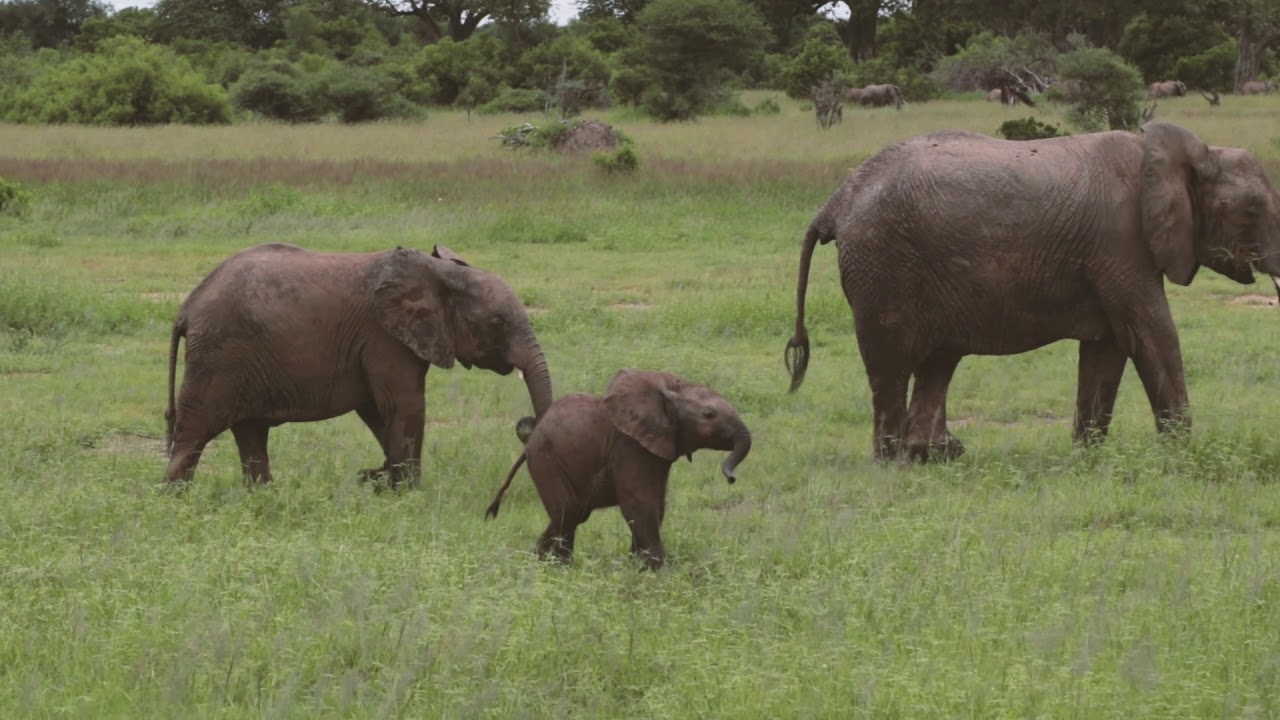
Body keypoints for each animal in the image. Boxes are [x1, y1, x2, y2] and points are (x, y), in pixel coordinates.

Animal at [163, 242, 554, 487]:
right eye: (497, 322)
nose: (526, 423)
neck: (441, 273)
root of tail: (186, 308)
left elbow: (379, 411)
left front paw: (387, 482)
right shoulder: (385, 337)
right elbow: (405, 405)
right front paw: (409, 493)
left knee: (251, 434)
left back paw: (262, 497)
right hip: (218, 356)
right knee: (194, 433)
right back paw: (176, 501)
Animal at [484, 369, 752, 571]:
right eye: (709, 414)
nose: (731, 478)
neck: (669, 389)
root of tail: (529, 442)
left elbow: (656, 505)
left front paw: (636, 566)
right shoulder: (629, 445)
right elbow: (639, 503)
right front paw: (657, 573)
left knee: (574, 513)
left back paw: (537, 560)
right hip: (546, 460)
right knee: (567, 512)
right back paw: (560, 568)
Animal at [784, 122, 1280, 462]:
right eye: (1253, 209)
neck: (1191, 151)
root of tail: (835, 201)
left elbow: (1107, 350)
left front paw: (1088, 458)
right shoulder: (1120, 244)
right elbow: (1151, 334)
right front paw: (1180, 456)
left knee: (938, 362)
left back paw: (937, 455)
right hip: (883, 264)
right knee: (892, 363)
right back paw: (895, 461)